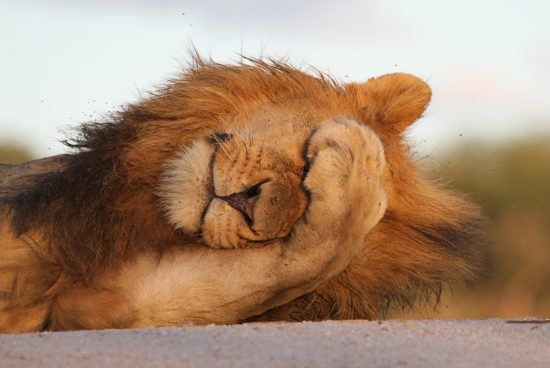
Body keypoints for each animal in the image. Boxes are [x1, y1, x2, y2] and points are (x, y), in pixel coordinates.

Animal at [0, 56, 484, 332]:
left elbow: (305, 259)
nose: (249, 202)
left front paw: (358, 170)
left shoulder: (95, 306)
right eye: (304, 158)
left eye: (304, 206)